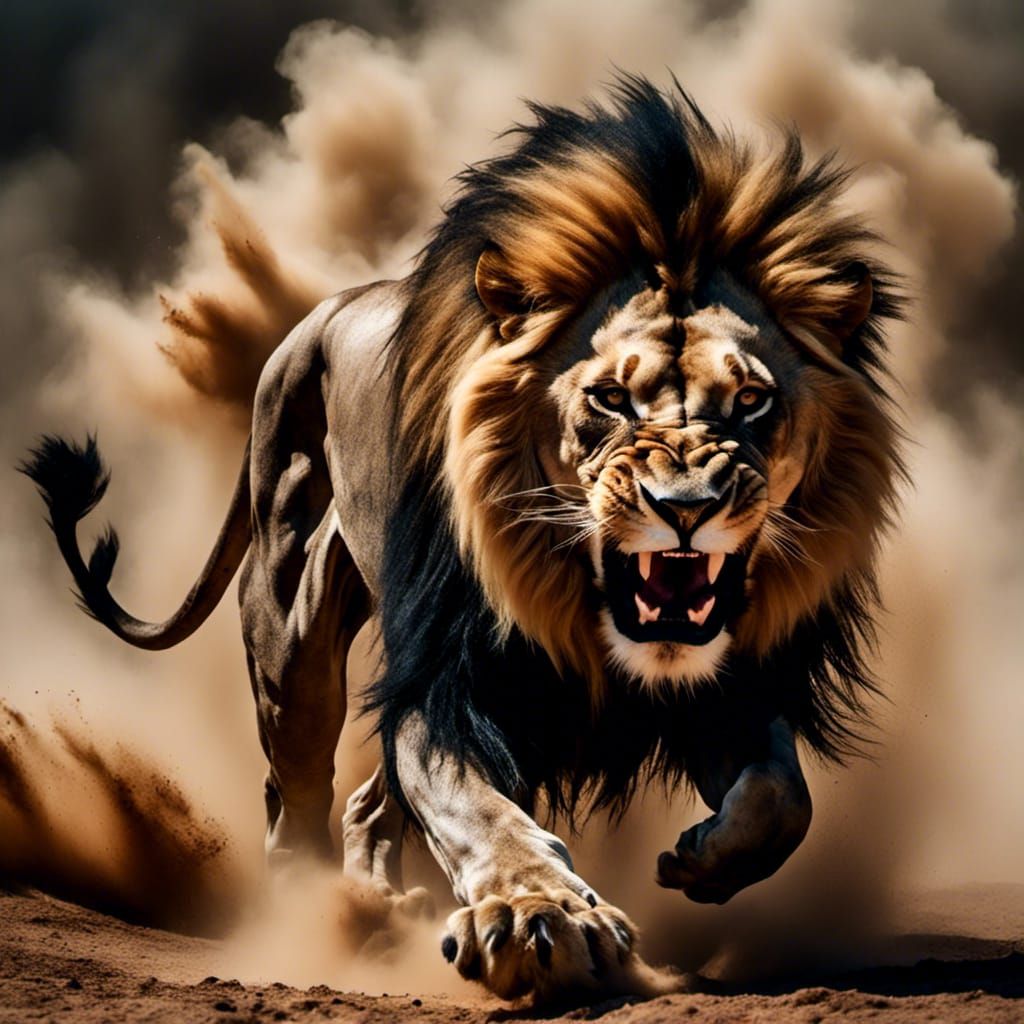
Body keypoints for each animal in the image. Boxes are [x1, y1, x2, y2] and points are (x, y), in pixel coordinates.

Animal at [22, 77, 903, 1002]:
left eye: (751, 403)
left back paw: (377, 904)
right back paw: (319, 919)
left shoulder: (733, 685)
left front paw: (701, 859)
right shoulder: (444, 681)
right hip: (289, 619)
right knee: (293, 791)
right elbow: (482, 815)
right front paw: (536, 915)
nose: (686, 506)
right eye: (610, 400)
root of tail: (321, 312)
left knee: (366, 803)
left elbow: (785, 799)